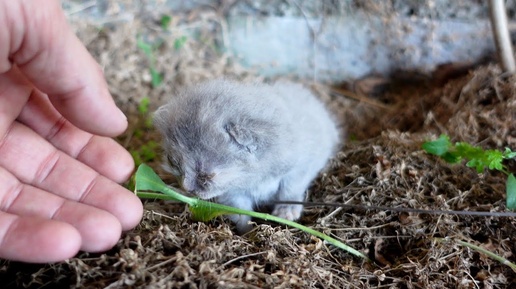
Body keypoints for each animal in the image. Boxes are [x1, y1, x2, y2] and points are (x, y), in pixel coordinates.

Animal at [153, 79, 338, 232]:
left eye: (207, 175)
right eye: (173, 162)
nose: (187, 189)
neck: (254, 176)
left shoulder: (301, 167)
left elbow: (290, 189)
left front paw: (286, 212)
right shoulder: (233, 193)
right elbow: (240, 212)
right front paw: (247, 232)